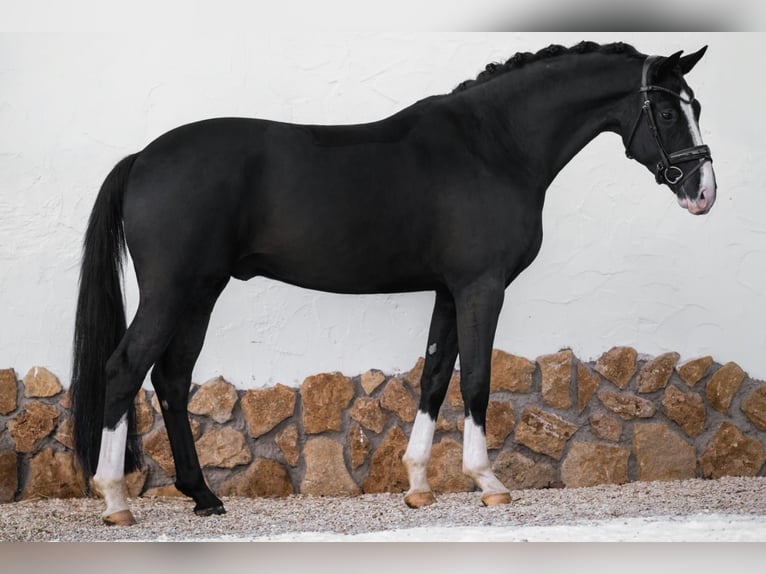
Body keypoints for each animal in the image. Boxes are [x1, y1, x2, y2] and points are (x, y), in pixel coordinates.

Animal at [70, 41, 716, 525]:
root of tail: (143, 157)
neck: (493, 145)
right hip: (173, 291)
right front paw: (488, 482)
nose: (703, 192)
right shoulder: (482, 287)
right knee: (124, 368)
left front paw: (418, 485)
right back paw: (115, 498)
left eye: (698, 107)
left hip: (202, 291)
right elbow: (476, 380)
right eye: (666, 112)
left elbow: (433, 376)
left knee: (171, 379)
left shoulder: (449, 291)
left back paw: (203, 495)